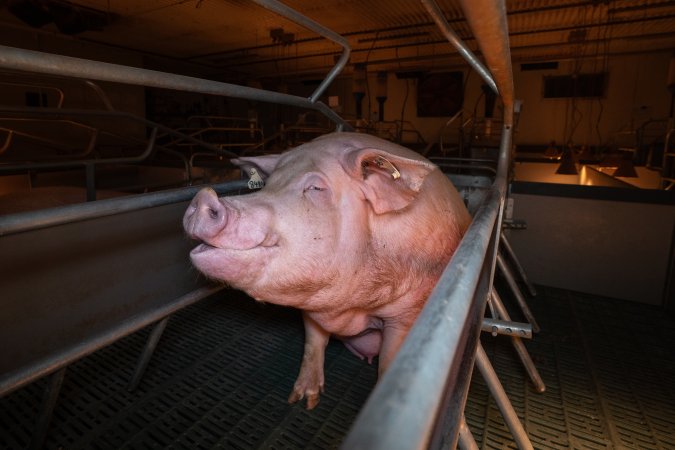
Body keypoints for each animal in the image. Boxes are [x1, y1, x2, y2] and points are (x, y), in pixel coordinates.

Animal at [182, 132, 472, 410]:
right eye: (268, 184)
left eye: (315, 187)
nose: (204, 196)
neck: (349, 307)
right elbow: (314, 342)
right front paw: (303, 401)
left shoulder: (406, 314)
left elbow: (388, 362)